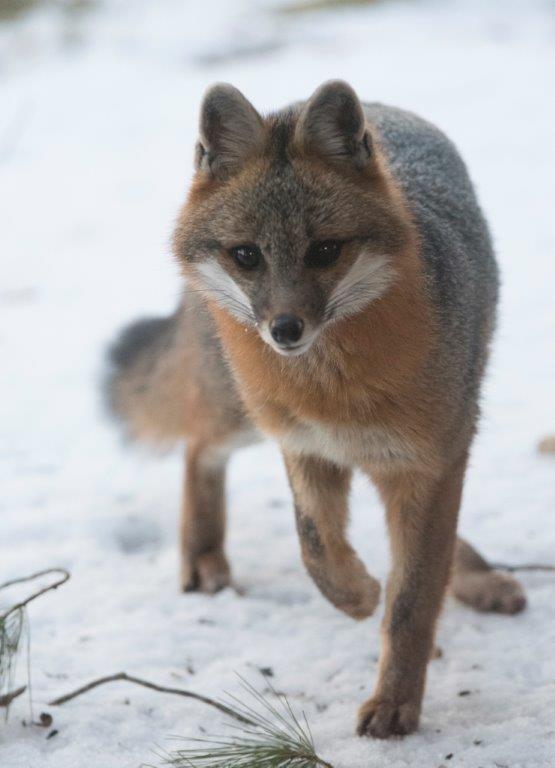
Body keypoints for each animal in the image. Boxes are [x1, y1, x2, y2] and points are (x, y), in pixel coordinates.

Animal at [105, 81, 527, 738]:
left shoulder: (431, 462)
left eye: (326, 250)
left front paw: (395, 702)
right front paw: (356, 595)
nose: (285, 330)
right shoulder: (304, 446)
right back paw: (202, 555)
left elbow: (412, 599)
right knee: (198, 445)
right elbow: (315, 547)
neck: (333, 392)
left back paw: (477, 578)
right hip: (241, 412)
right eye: (246, 255)